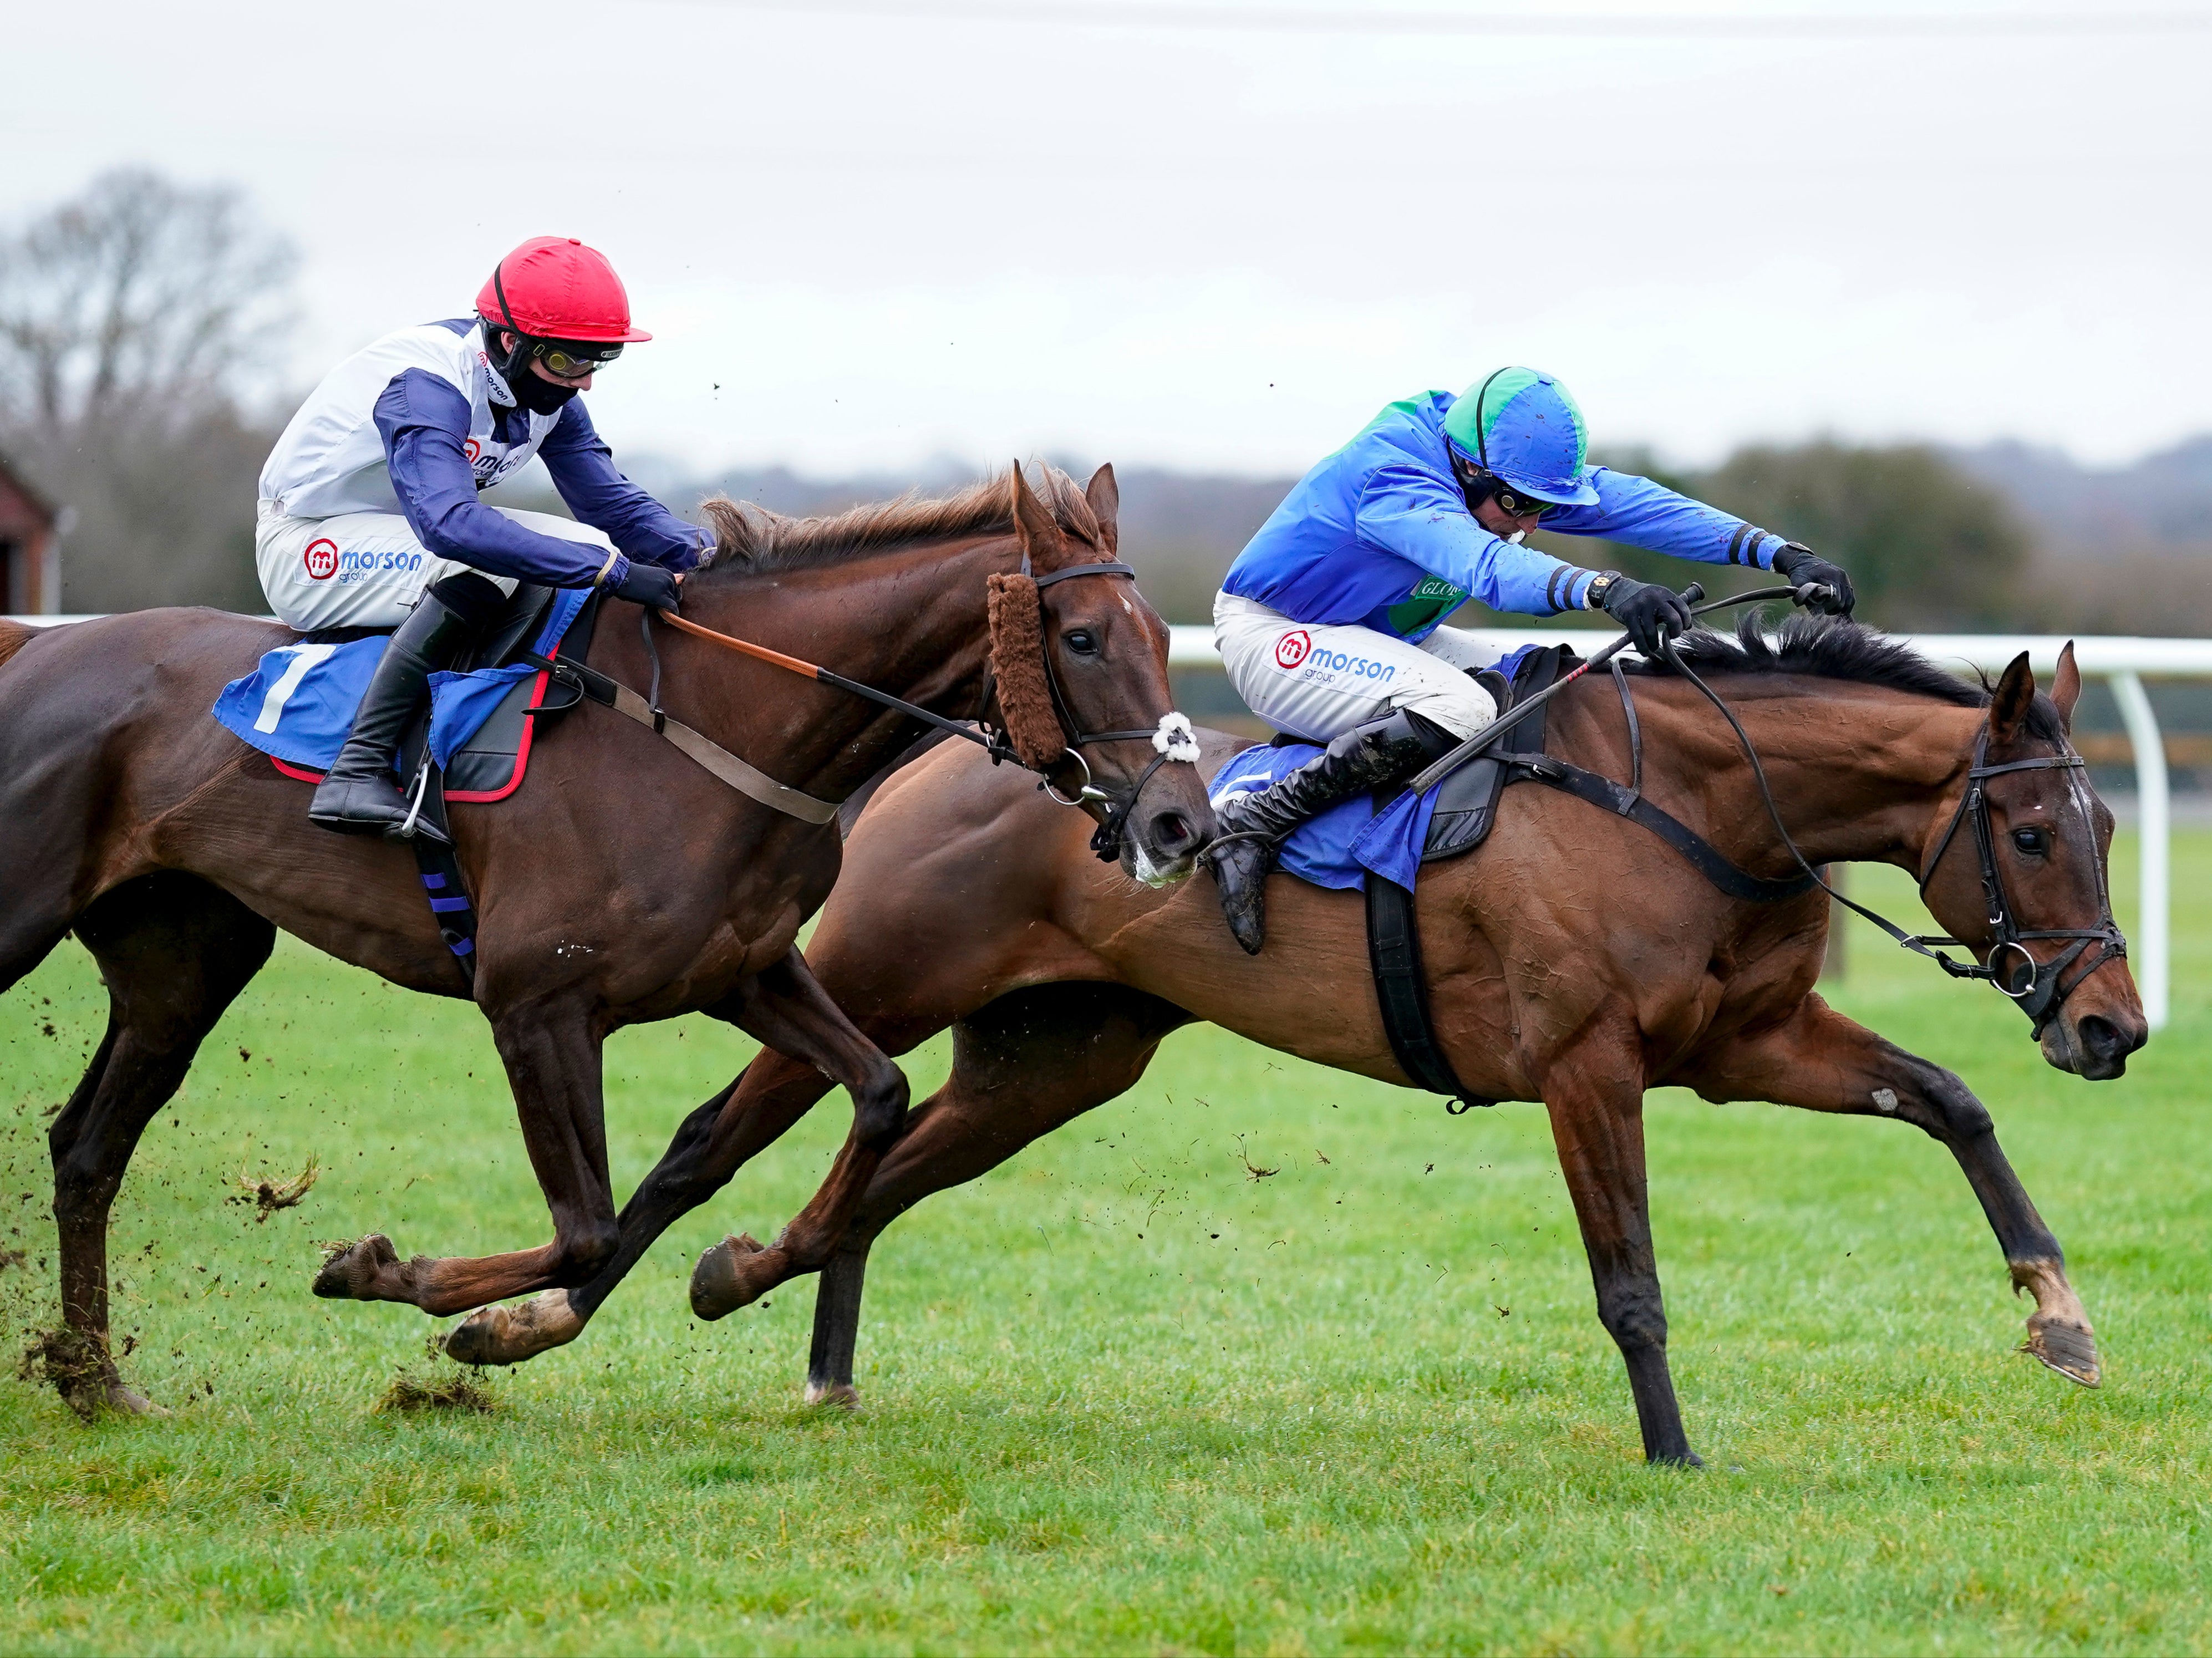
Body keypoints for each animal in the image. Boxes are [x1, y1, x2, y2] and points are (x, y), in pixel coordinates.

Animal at [0, 464, 1212, 1415]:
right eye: (1081, 638)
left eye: (1165, 638)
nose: (1178, 825)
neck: (710, 731)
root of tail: (31, 653)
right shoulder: (536, 1006)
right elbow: (583, 1226)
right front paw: (397, 1279)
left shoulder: (743, 967)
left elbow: (876, 1091)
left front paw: (753, 1261)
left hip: (183, 956)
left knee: (88, 1148)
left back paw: (95, 1380)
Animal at [489, 619, 2141, 1468]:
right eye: (2031, 829)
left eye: (2110, 823)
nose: (2112, 1025)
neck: (1691, 801)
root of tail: (947, 759)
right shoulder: (1587, 1063)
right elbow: (1630, 1283)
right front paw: (1670, 1453)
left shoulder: (1743, 1041)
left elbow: (1948, 1100)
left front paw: (2057, 1316)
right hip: (886, 975)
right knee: (718, 1134)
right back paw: (522, 1319)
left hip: (1057, 1052)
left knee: (880, 1164)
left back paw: (778, 1310)